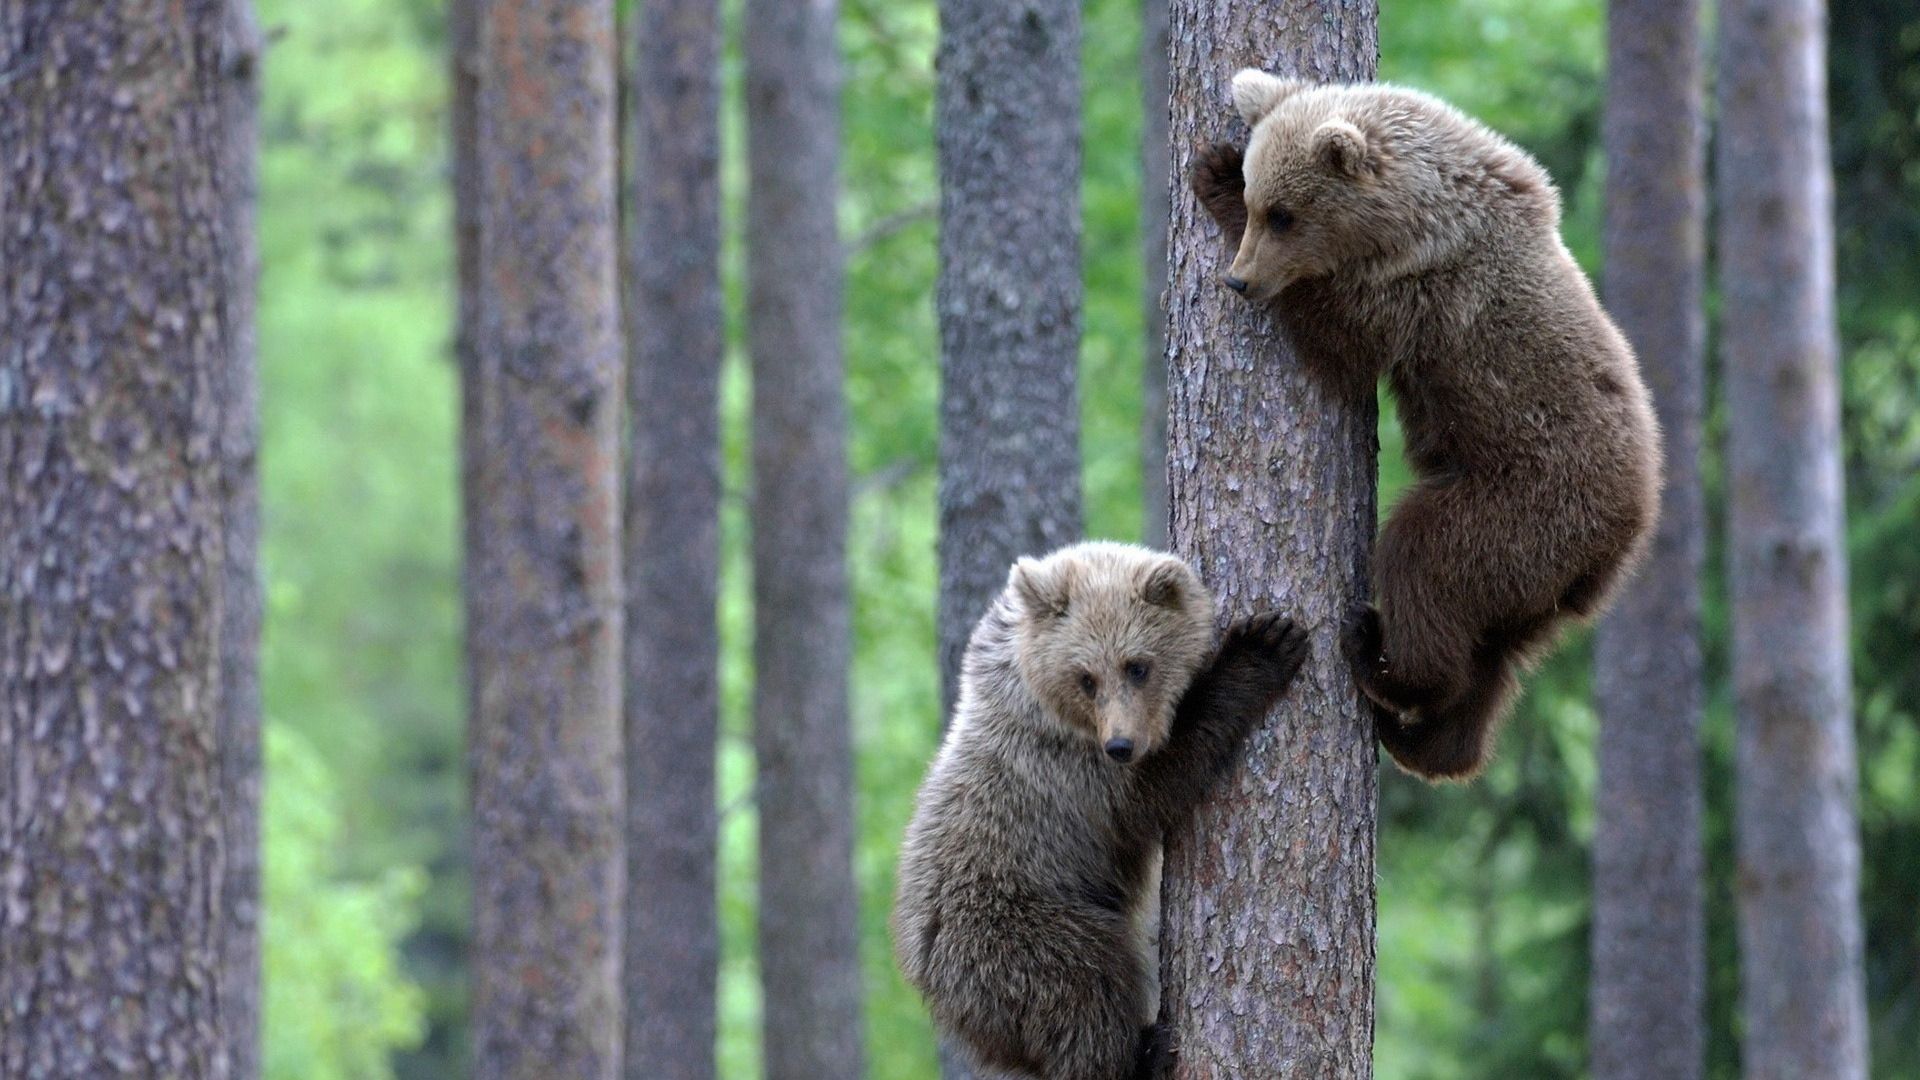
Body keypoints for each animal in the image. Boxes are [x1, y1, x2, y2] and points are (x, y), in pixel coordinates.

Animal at [892, 541, 1309, 1080]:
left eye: (1138, 665)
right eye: (1086, 677)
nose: (1121, 744)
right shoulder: (1070, 773)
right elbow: (1155, 789)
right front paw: (1263, 646)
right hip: (1015, 927)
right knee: (1086, 986)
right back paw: (1147, 1051)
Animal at [1191, 70, 1659, 781]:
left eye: (1281, 214)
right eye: (1260, 200)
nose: (1239, 280)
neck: (1416, 215)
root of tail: (1625, 534)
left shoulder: (1421, 296)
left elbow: (1342, 346)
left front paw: (1211, 174)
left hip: (1523, 506)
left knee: (1423, 561)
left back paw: (1378, 658)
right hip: (1538, 582)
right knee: (1494, 655)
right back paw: (1429, 741)